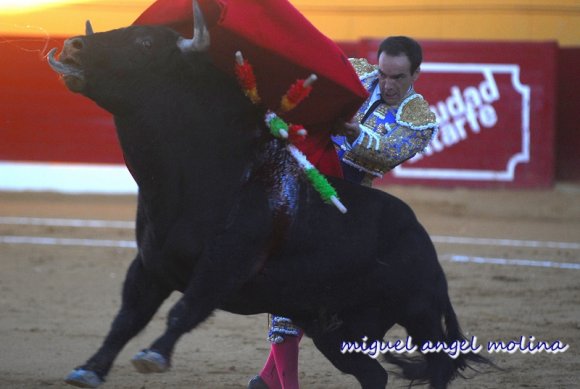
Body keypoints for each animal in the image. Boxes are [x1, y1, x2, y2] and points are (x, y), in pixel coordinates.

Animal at [47, 1, 490, 386]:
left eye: (144, 43)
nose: (73, 45)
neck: (195, 177)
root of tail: (424, 239)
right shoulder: (151, 265)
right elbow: (125, 320)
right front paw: (90, 369)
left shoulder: (225, 266)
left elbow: (184, 310)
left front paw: (153, 356)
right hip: (336, 329)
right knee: (371, 373)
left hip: (421, 312)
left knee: (437, 366)